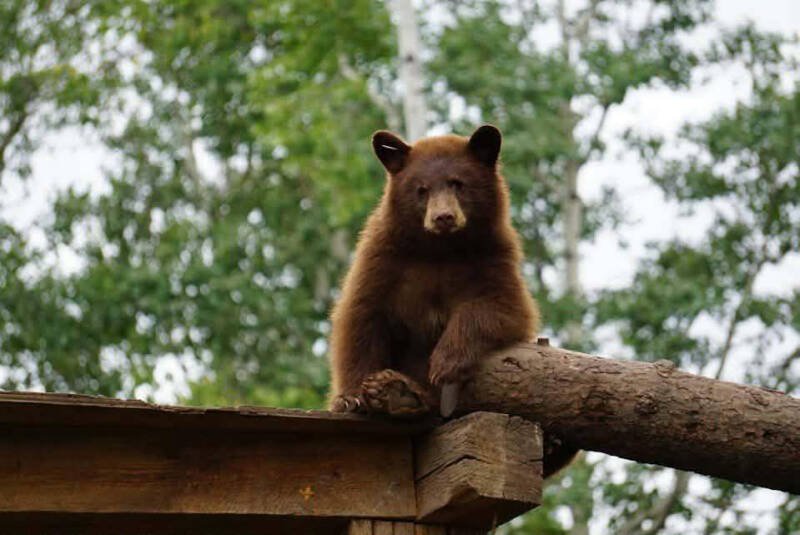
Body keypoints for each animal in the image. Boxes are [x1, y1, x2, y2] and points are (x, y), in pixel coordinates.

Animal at [328, 124, 539, 417]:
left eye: (458, 183)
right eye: (422, 189)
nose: (443, 217)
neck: (439, 249)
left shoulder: (492, 257)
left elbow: (503, 306)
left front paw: (445, 362)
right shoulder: (382, 260)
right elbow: (361, 316)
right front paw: (351, 397)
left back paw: (403, 392)